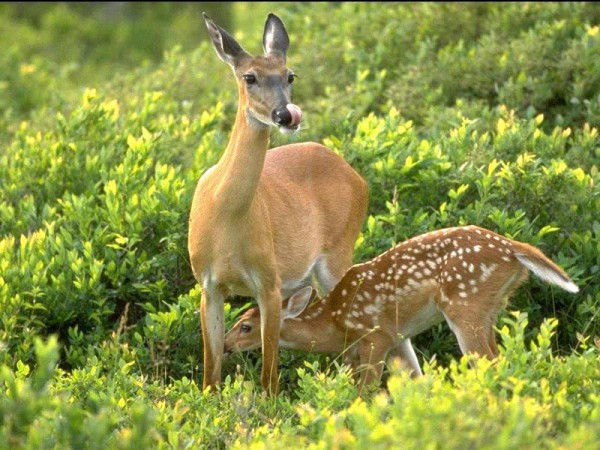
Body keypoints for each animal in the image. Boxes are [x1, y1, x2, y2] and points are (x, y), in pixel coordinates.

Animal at [189, 14, 370, 394]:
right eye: (249, 76)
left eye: (290, 75)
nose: (287, 115)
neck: (226, 220)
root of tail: (354, 174)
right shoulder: (208, 285)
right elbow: (210, 375)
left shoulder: (268, 282)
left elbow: (269, 376)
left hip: (337, 253)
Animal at [224, 227, 576, 392]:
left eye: (245, 326)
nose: (225, 345)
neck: (335, 321)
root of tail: (513, 248)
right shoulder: (398, 338)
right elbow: (416, 380)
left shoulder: (376, 334)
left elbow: (364, 390)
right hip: (489, 307)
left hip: (465, 305)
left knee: (487, 361)